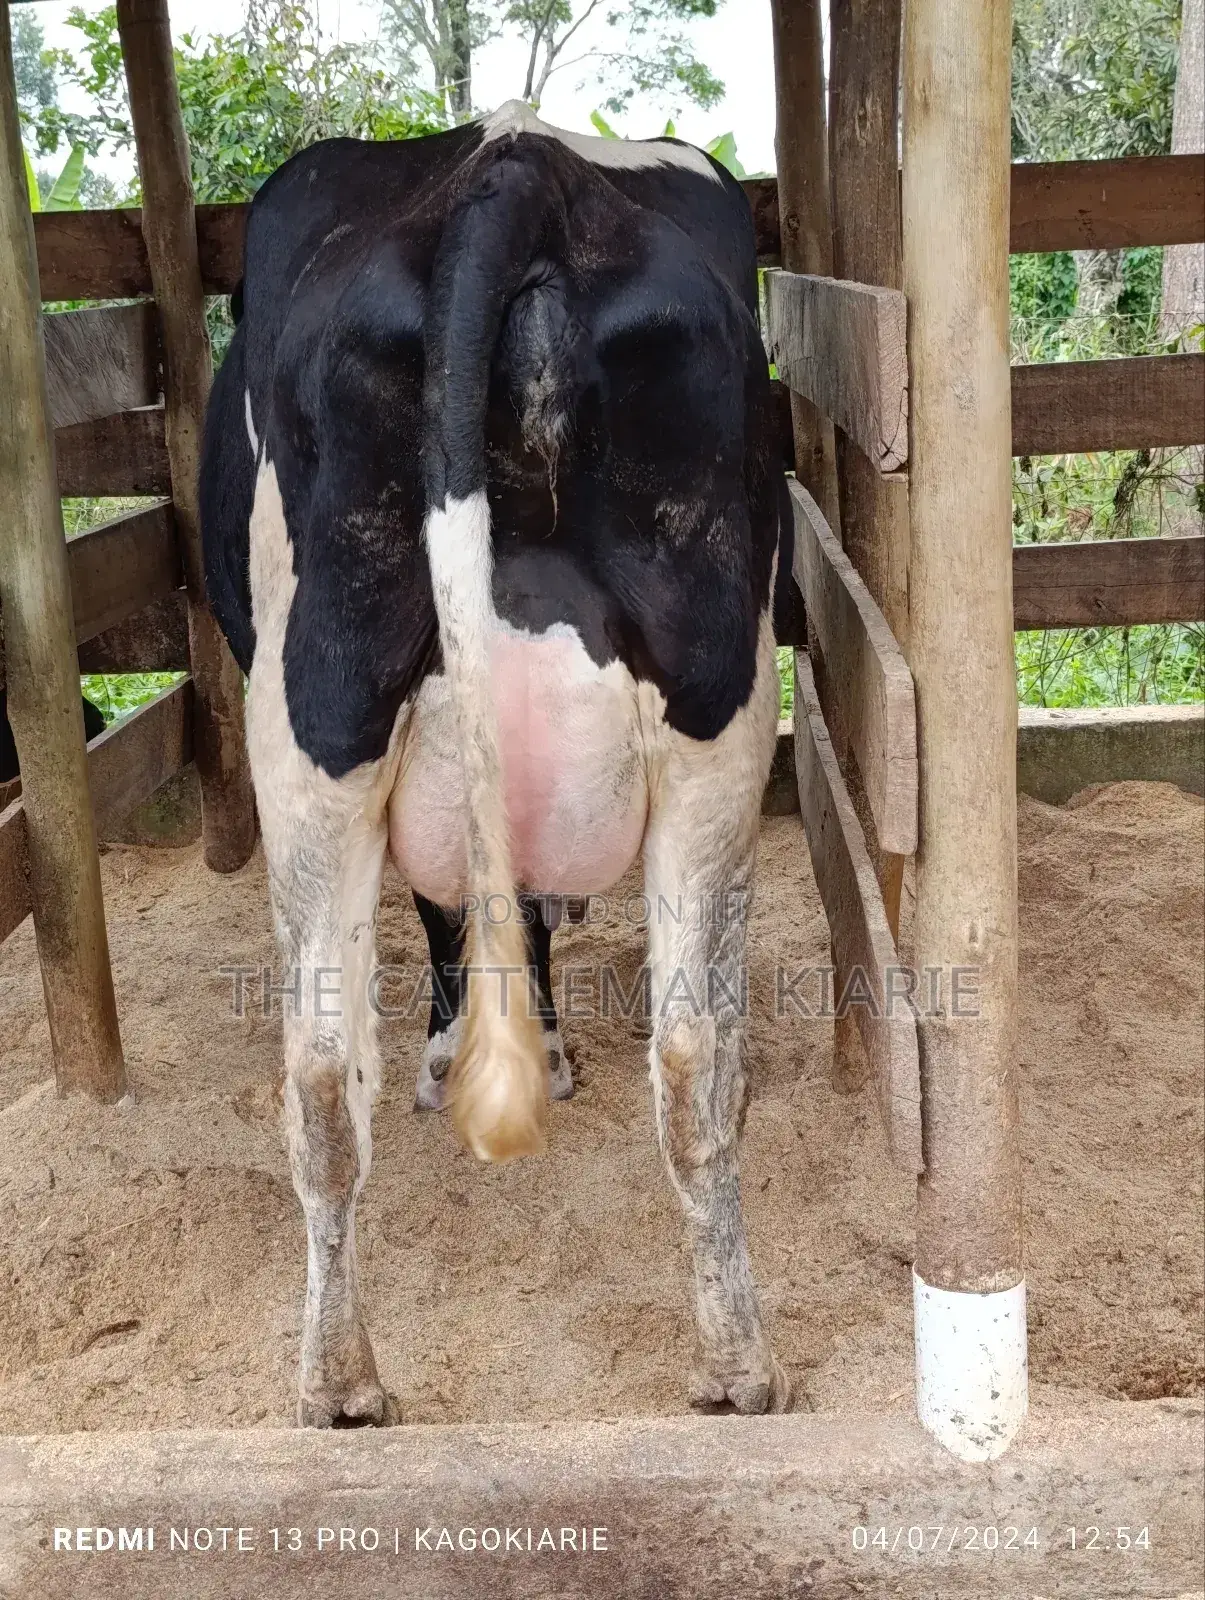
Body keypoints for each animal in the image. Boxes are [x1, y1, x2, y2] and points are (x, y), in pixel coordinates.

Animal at [201, 100, 796, 1427]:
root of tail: (513, 167)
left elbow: (461, 911)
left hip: (318, 710)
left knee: (325, 1069)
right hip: (712, 714)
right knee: (687, 1054)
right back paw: (725, 1366)